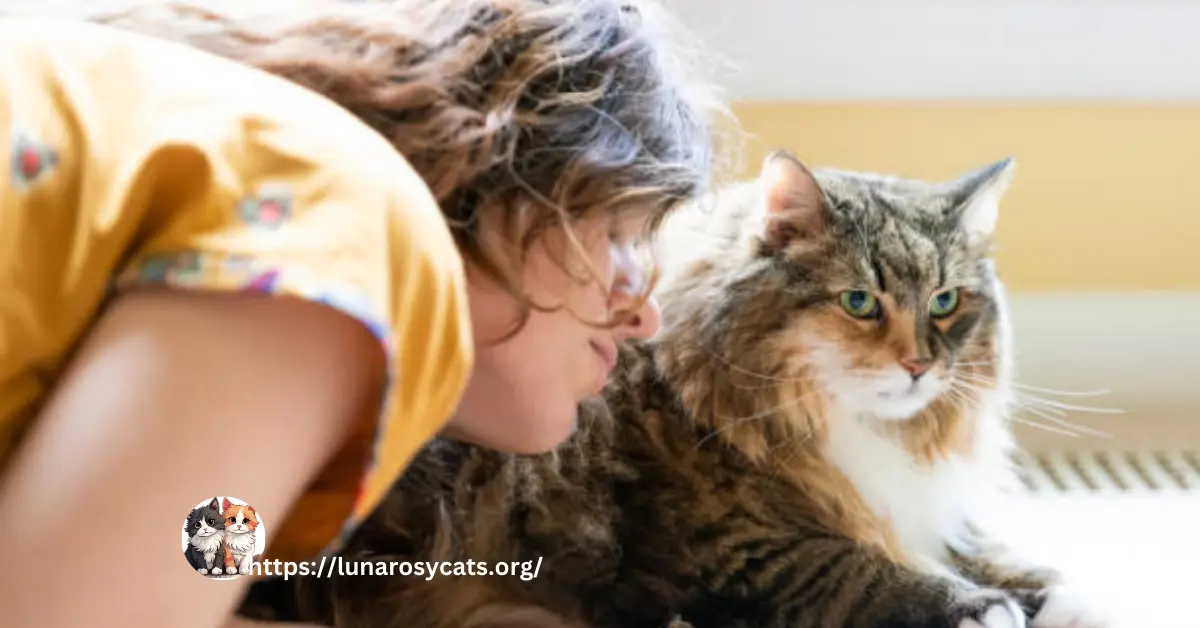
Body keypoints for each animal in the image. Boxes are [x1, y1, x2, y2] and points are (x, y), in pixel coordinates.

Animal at [236, 152, 1104, 628]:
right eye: (860, 302)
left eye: (946, 302)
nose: (921, 364)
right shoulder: (744, 551)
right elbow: (867, 570)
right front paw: (976, 605)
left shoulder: (906, 504)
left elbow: (978, 544)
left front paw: (1058, 593)